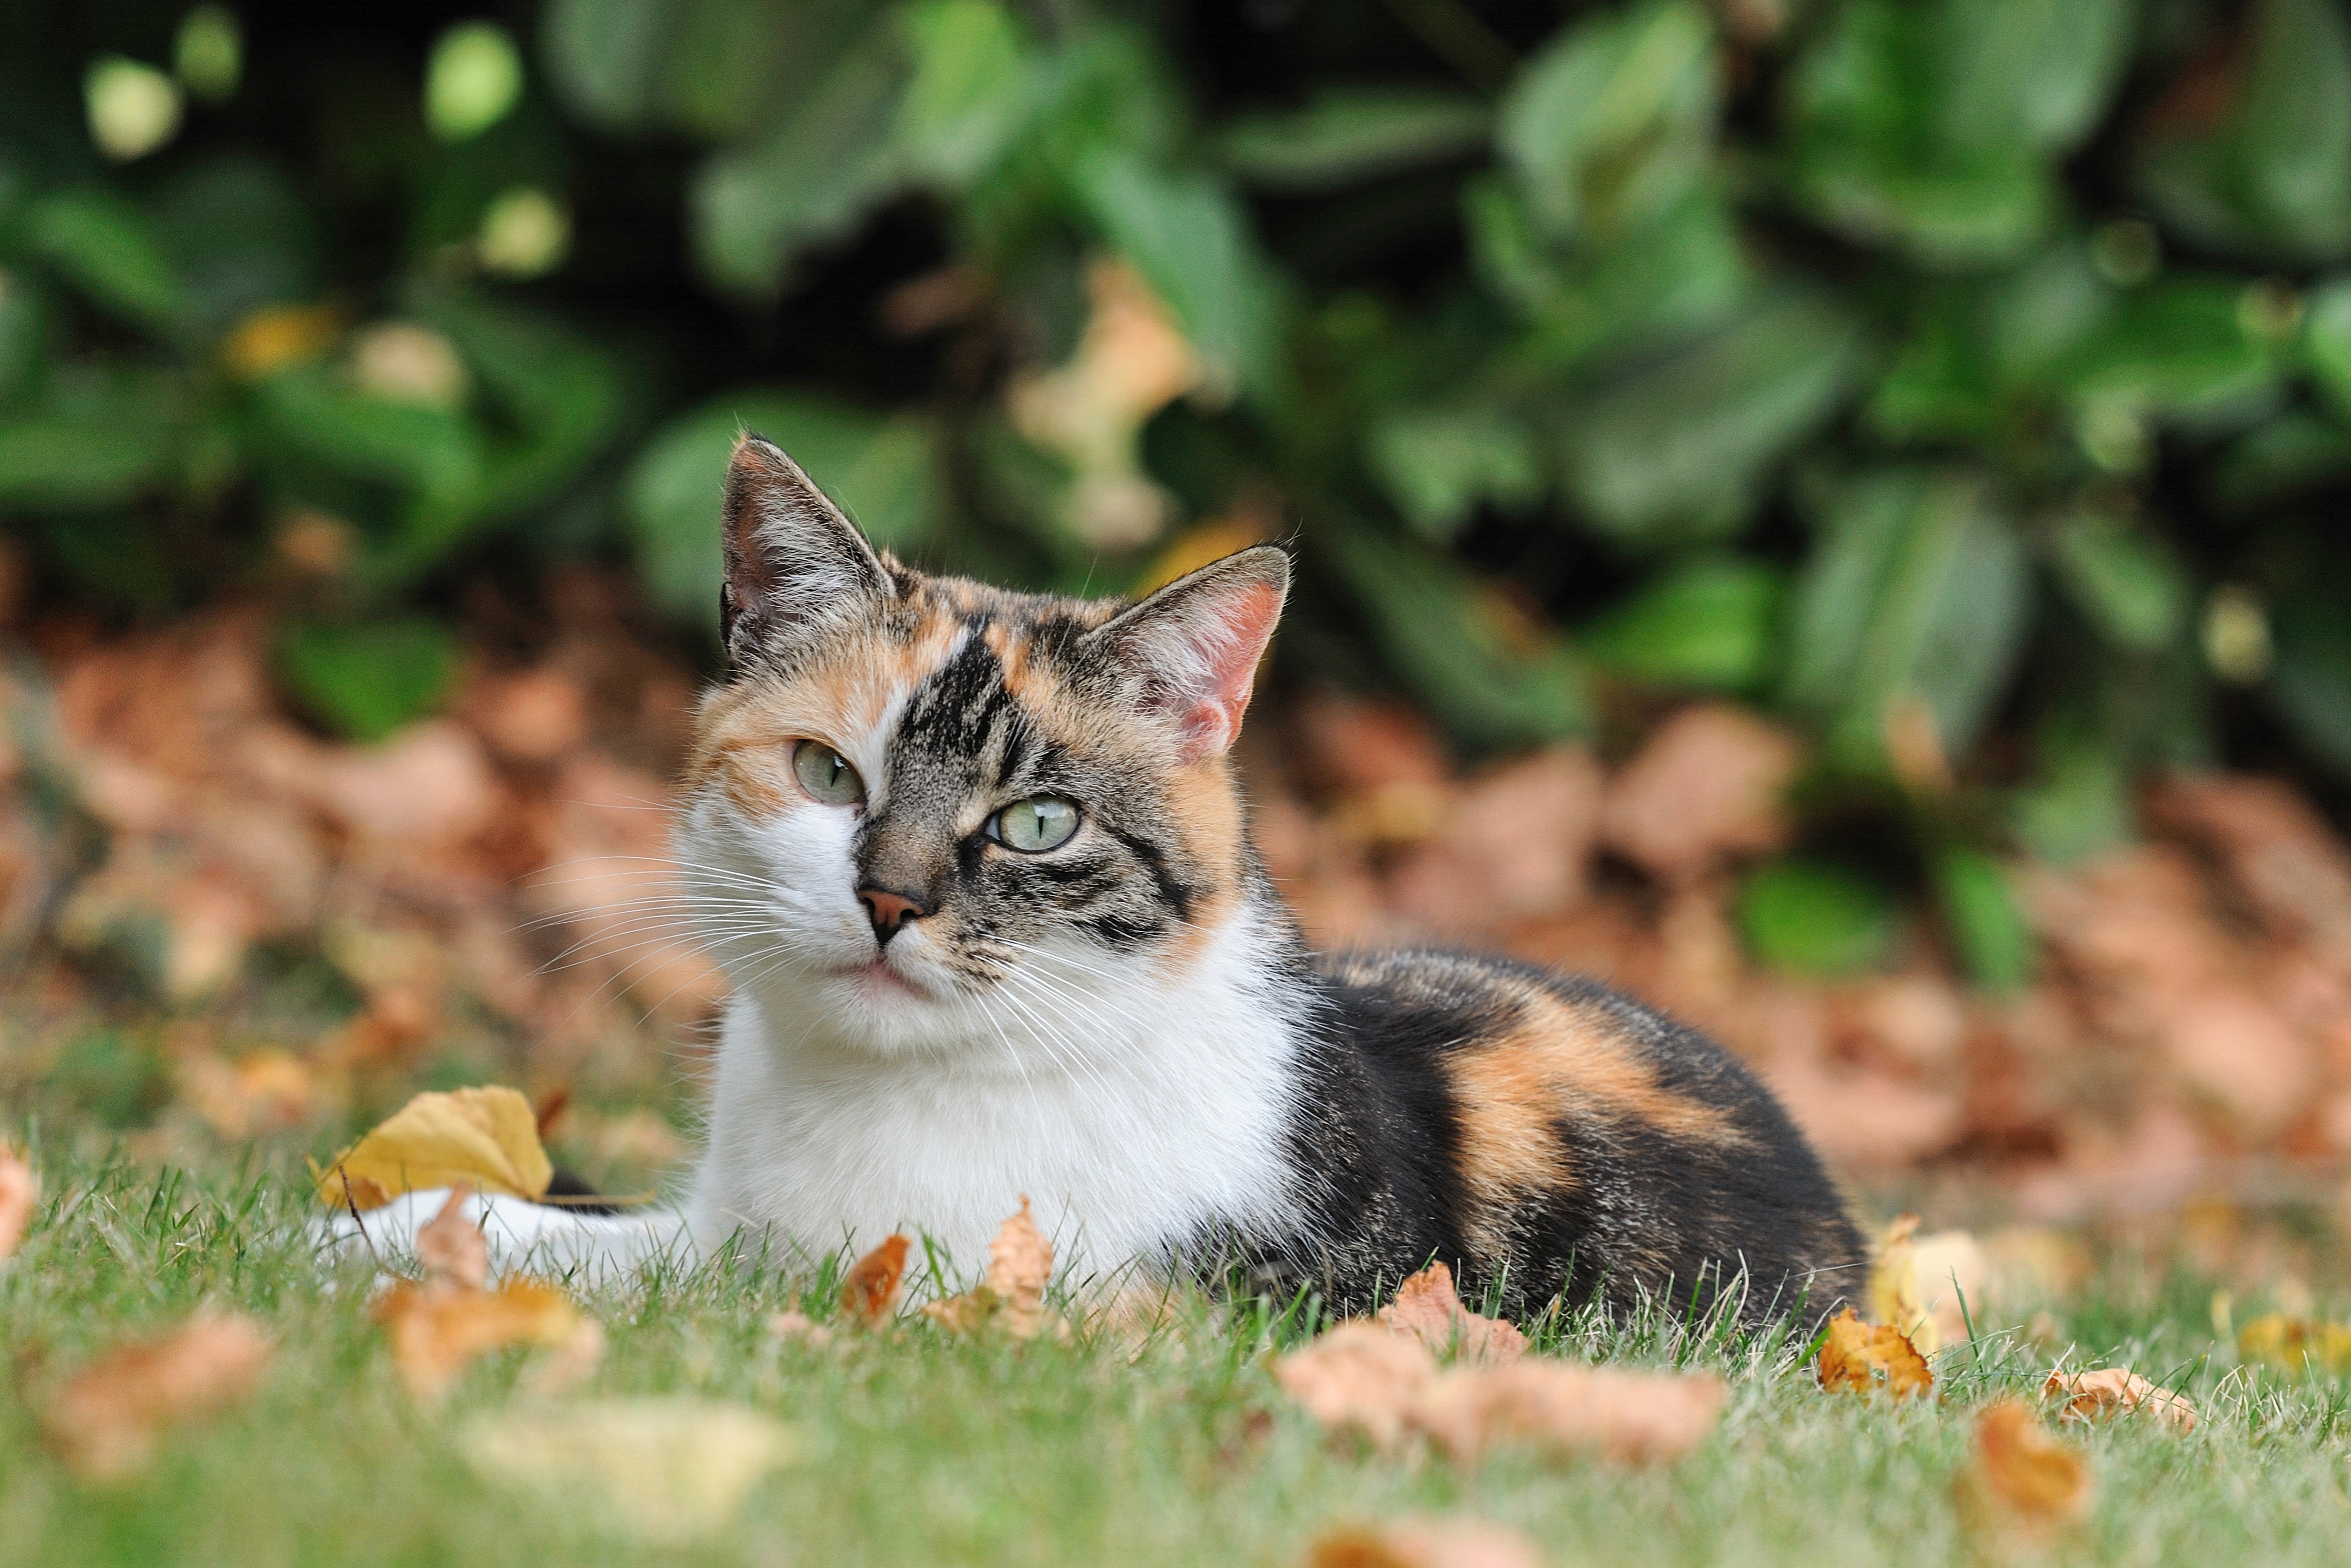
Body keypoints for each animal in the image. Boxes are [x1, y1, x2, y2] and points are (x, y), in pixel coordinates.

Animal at [336, 439, 1871, 1326]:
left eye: (1037, 821)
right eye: (828, 774)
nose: (888, 897)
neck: (896, 1096)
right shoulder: (724, 1226)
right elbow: (618, 1247)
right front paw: (387, 1228)